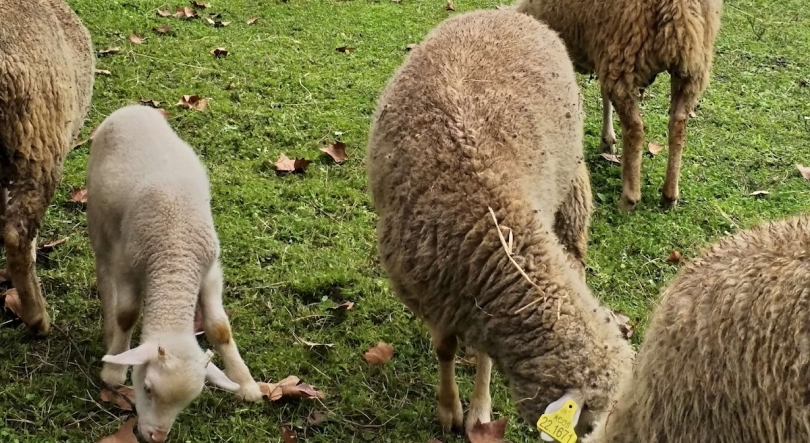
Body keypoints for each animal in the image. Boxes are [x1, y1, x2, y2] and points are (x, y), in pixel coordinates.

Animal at [86, 105, 262, 443]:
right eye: (146, 388)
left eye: (190, 401)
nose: (156, 437)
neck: (173, 262)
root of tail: (131, 107)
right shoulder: (128, 266)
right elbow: (127, 314)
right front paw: (113, 370)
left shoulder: (209, 272)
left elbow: (220, 328)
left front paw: (246, 384)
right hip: (99, 223)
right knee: (104, 279)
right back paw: (109, 332)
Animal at [362, 9, 636, 438]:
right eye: (588, 425)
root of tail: (506, 13)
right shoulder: (433, 298)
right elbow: (444, 350)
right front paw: (449, 409)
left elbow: (485, 357)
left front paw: (479, 411)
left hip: (570, 181)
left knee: (575, 253)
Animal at [516, 0, 724, 212]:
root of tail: (678, 8)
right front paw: (607, 141)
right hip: (692, 69)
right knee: (678, 126)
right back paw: (669, 196)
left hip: (625, 52)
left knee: (635, 130)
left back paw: (629, 198)